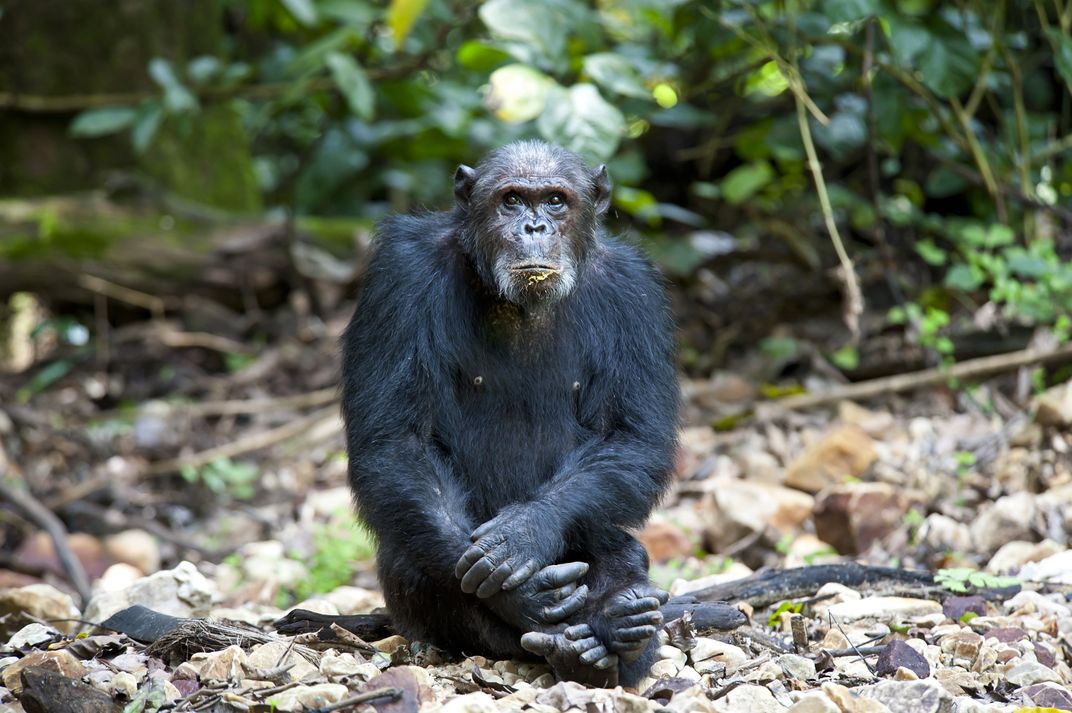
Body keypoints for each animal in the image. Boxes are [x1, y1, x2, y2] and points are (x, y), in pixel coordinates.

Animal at [285, 140, 673, 686]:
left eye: (556, 200)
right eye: (511, 200)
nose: (535, 226)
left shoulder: (636, 295)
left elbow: (634, 437)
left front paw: (523, 534)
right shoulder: (399, 276)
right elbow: (397, 439)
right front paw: (522, 596)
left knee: (618, 543)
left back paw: (617, 629)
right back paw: (565, 638)